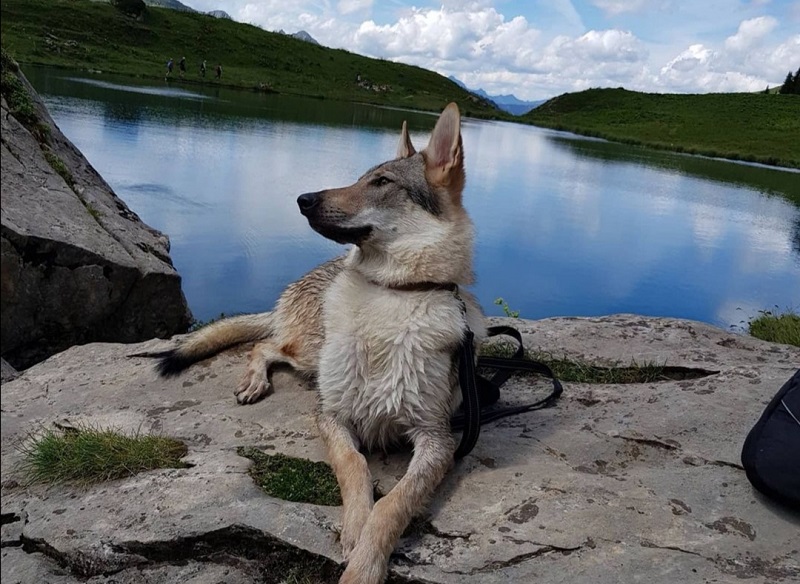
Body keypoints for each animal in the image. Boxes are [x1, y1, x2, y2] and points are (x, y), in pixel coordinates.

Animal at [154, 102, 484, 580]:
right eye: (362, 177)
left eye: (382, 183)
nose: (303, 199)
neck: (391, 295)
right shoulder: (330, 415)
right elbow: (355, 467)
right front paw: (354, 526)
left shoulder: (437, 439)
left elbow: (394, 505)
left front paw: (364, 564)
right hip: (312, 354)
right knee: (265, 345)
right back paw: (254, 381)